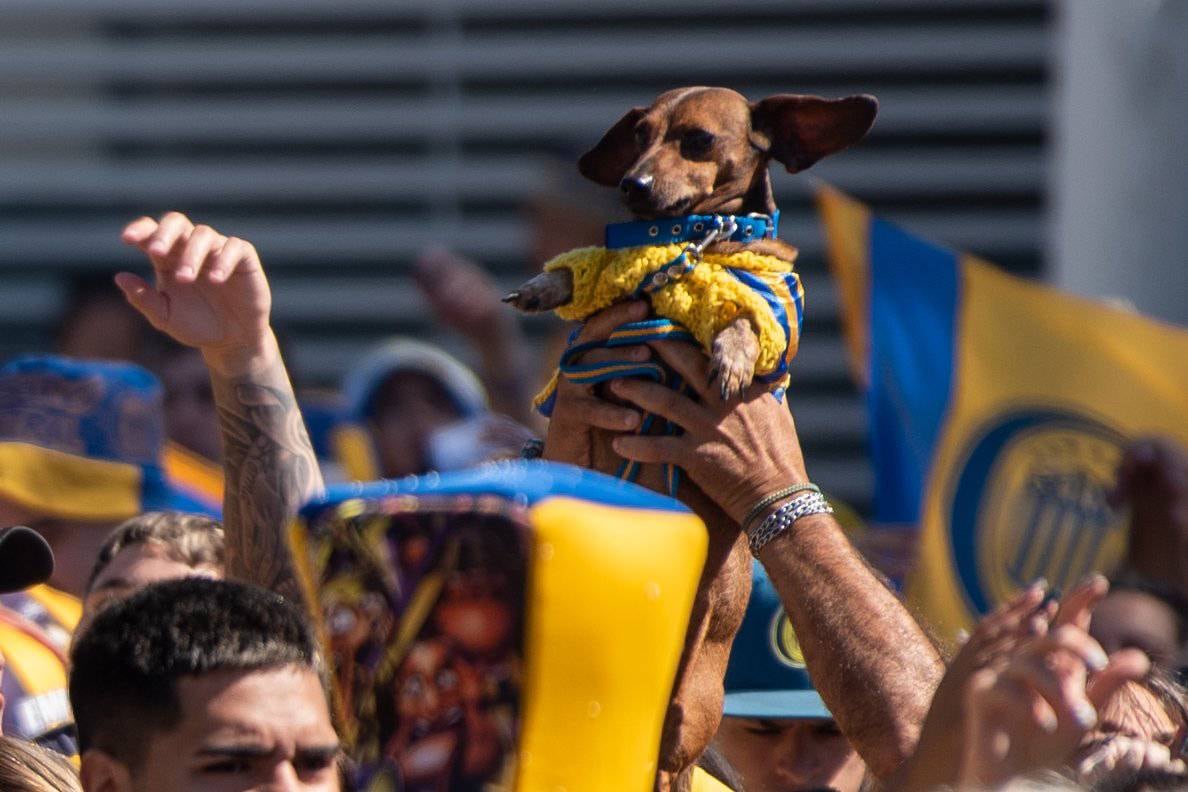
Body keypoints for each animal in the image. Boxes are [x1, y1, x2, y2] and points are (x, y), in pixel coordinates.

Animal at [506, 86, 879, 788]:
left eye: (698, 140)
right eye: (638, 135)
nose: (632, 185)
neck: (695, 244)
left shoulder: (777, 311)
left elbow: (749, 318)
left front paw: (730, 354)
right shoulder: (608, 289)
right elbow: (581, 270)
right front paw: (543, 286)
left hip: (690, 709)